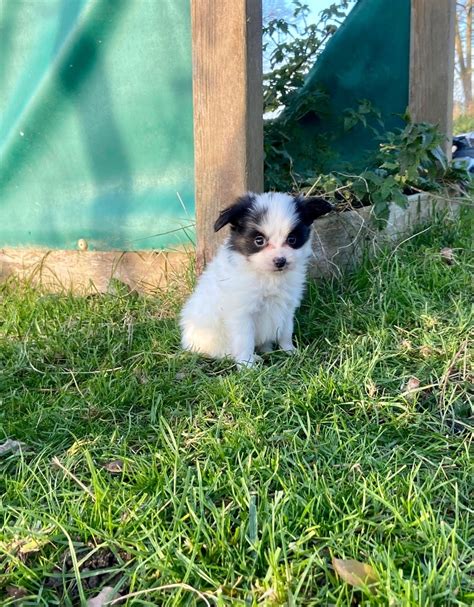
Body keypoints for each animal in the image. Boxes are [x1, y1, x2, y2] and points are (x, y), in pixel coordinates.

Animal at [180, 192, 332, 368]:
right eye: (259, 241)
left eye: (292, 239)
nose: (280, 261)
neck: (268, 276)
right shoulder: (242, 314)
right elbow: (245, 341)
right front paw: (247, 366)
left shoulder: (287, 307)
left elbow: (286, 332)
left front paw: (291, 352)